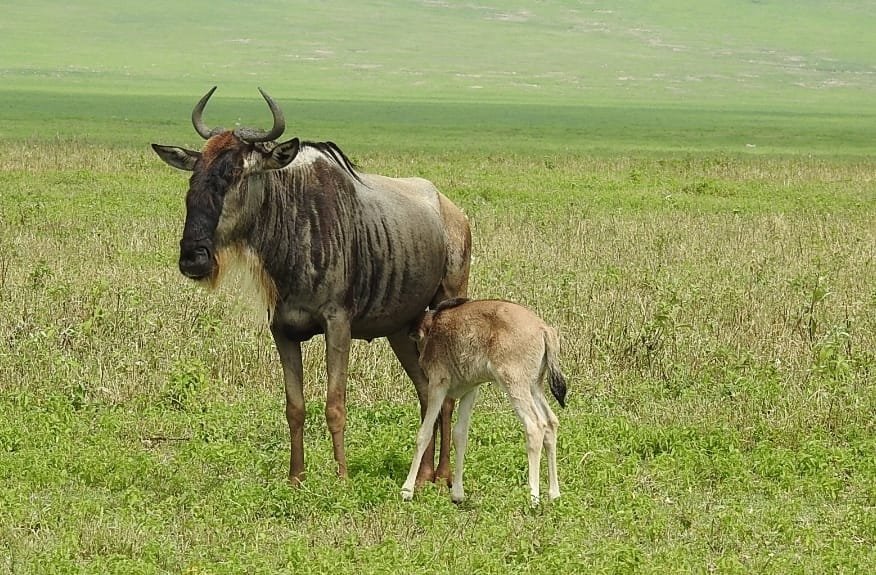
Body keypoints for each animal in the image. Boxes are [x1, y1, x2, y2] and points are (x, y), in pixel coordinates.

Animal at [151, 87, 471, 486]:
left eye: (236, 175)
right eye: (195, 176)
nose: (193, 257)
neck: (292, 226)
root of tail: (454, 212)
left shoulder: (338, 325)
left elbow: (335, 404)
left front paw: (342, 477)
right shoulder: (283, 330)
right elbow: (295, 406)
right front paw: (296, 478)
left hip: (447, 306)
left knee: (446, 395)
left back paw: (443, 476)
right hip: (402, 328)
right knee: (426, 390)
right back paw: (423, 474)